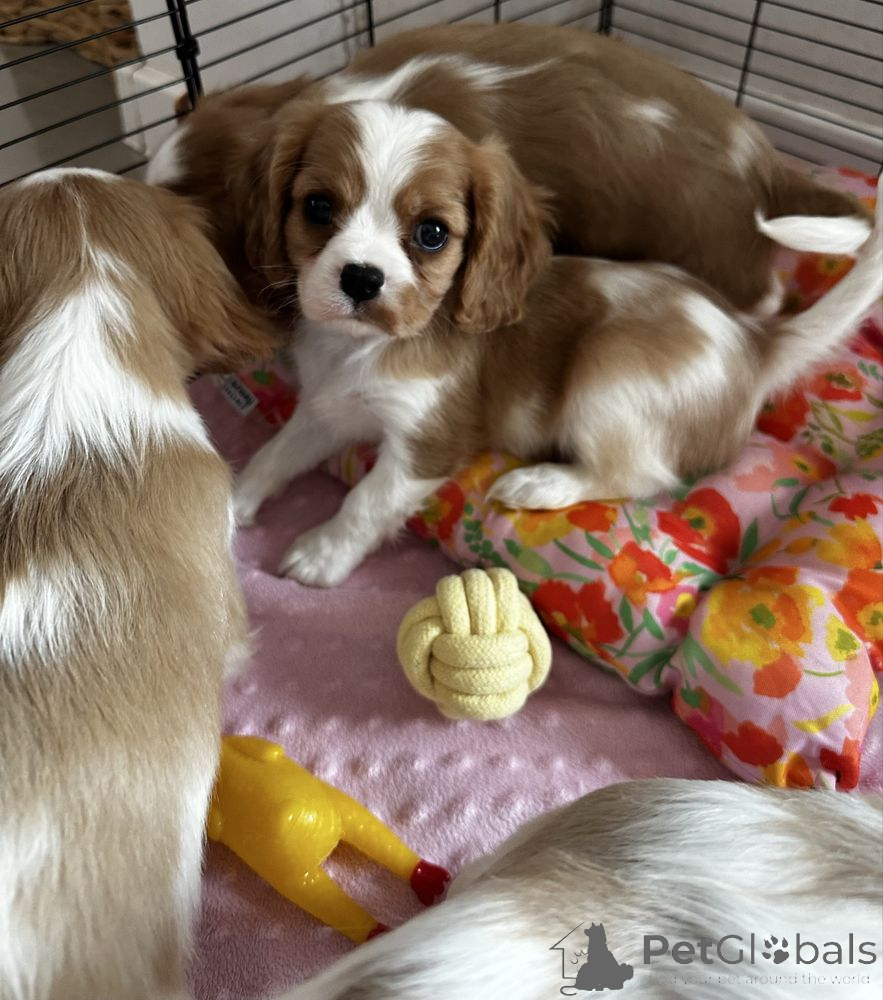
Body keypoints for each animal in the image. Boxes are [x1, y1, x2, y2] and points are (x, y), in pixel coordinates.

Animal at [223, 99, 881, 588]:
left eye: (432, 234)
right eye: (317, 206)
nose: (361, 278)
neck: (358, 351)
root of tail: (753, 339)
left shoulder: (429, 441)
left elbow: (367, 500)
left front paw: (323, 553)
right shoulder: (326, 409)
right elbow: (272, 455)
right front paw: (228, 507)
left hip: (608, 373)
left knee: (643, 473)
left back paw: (542, 483)